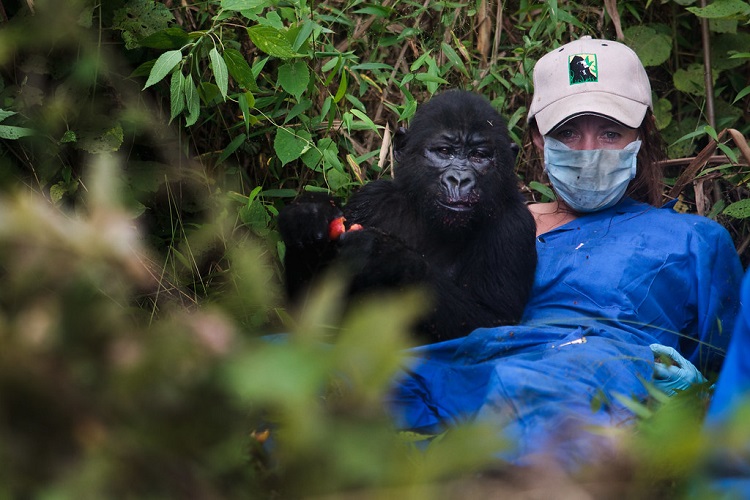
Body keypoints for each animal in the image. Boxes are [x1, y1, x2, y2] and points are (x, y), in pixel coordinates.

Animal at [280, 89, 536, 344]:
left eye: (478, 156)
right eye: (445, 152)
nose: (459, 179)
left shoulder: (514, 227)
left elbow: (492, 325)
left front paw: (386, 255)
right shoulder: (370, 200)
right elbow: (314, 317)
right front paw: (307, 216)